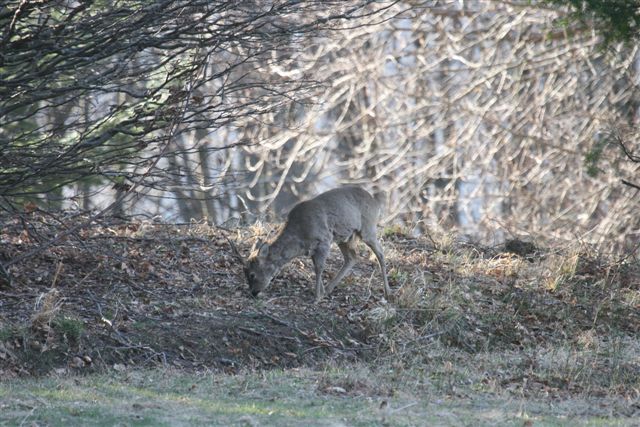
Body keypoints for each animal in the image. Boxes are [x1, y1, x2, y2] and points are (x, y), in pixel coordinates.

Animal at [236, 187, 390, 304]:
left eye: (252, 274)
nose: (254, 292)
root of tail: (376, 203)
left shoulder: (324, 239)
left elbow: (319, 268)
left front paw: (317, 297)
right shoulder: (312, 249)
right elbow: (316, 267)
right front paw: (321, 292)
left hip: (368, 228)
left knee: (381, 254)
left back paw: (387, 291)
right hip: (345, 238)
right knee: (352, 257)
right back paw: (329, 289)